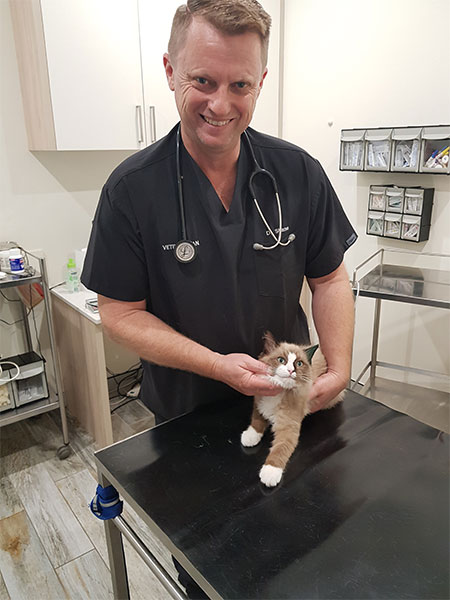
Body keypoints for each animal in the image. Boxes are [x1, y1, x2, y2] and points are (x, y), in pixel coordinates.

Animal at [241, 332, 344, 487]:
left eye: (299, 363)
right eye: (281, 360)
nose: (291, 370)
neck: (278, 394)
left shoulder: (288, 428)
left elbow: (279, 451)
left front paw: (270, 472)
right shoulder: (259, 404)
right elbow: (256, 421)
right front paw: (250, 436)